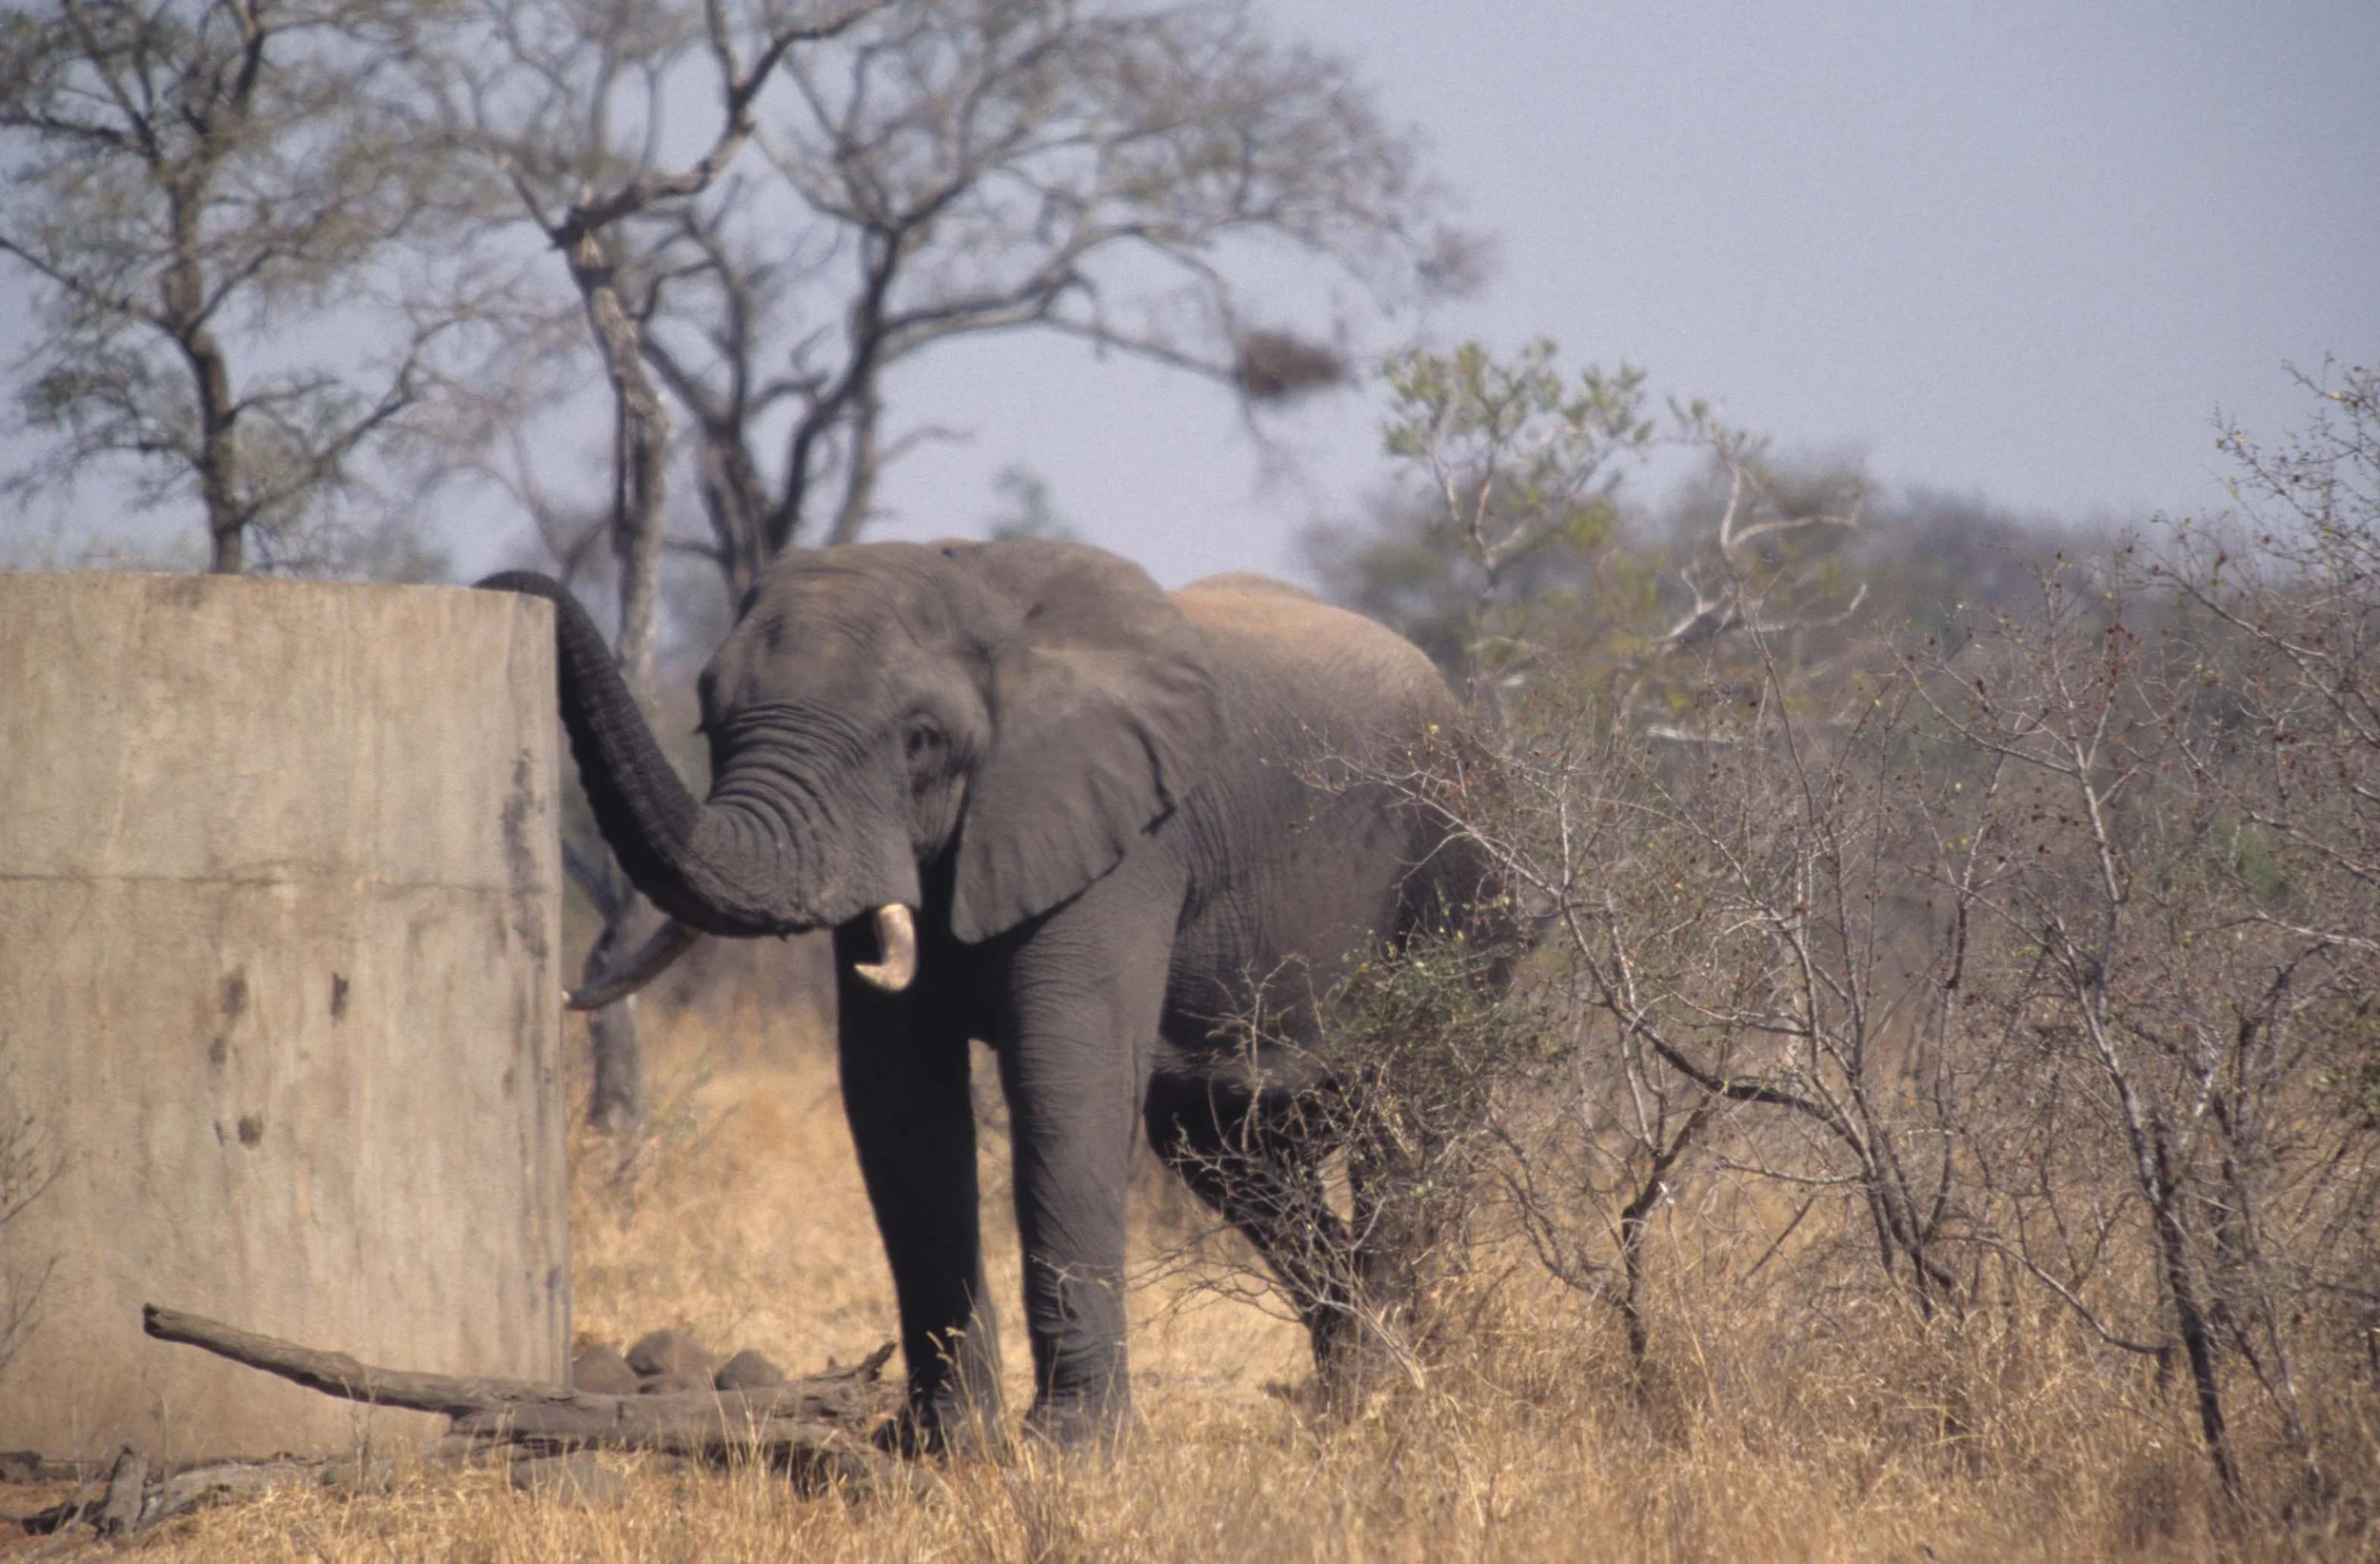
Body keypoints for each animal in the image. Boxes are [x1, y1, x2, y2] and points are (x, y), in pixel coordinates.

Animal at [479, 538, 1500, 1448]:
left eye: (920, 741)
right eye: (708, 720)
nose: (502, 580)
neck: (974, 584)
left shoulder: (1123, 839)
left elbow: (1063, 1081)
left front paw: (1072, 1452)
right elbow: (897, 1097)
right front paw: (945, 1448)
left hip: (1460, 870)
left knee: (1415, 1117)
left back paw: (1393, 1393)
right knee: (1217, 1142)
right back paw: (1353, 1385)